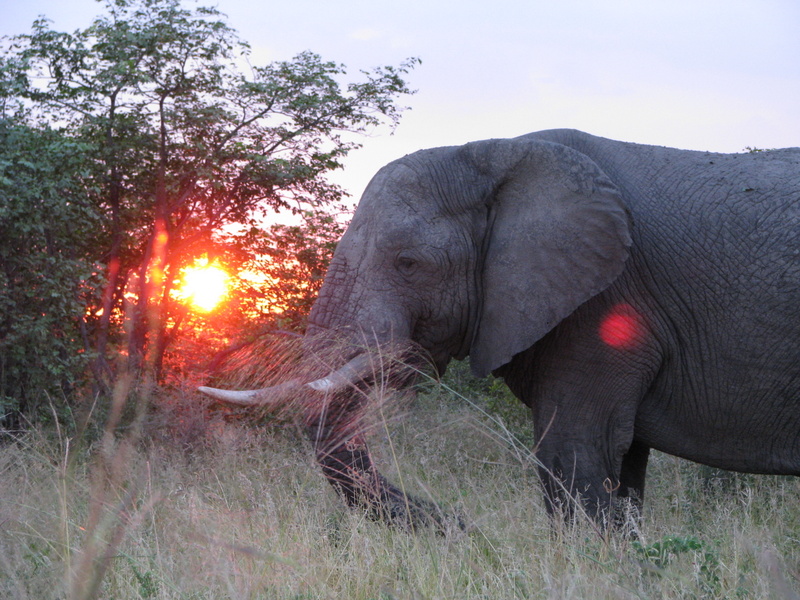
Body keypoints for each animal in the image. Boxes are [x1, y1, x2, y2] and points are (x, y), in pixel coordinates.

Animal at [200, 129, 800, 531]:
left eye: (409, 263)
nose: (463, 525)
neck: (497, 152)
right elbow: (621, 467)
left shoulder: (608, 300)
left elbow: (573, 454)